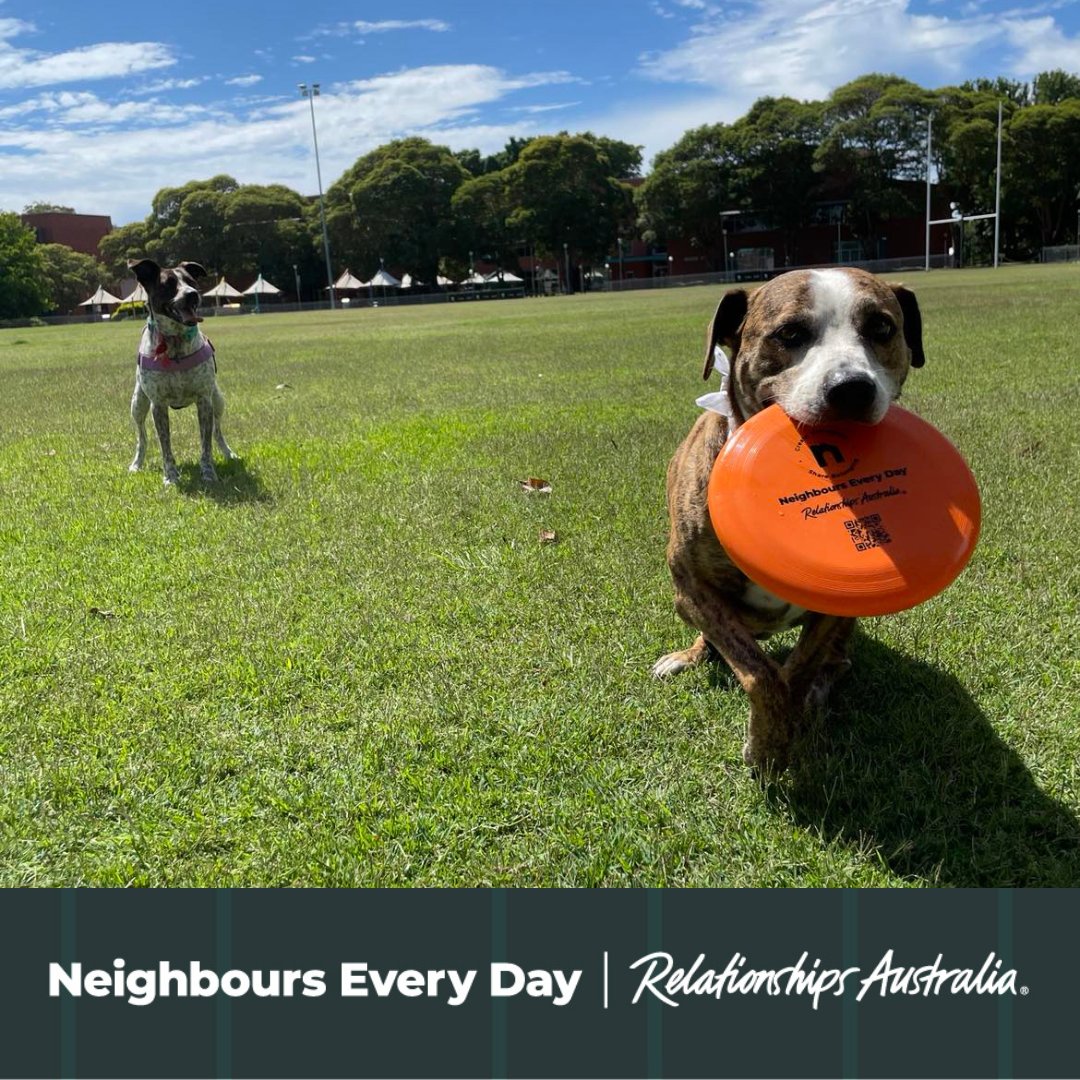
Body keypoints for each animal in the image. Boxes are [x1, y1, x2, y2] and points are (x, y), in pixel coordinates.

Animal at [127, 258, 237, 486]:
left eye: (191, 282)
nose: (192, 294)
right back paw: (136, 464)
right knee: (142, 436)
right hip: (138, 404)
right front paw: (171, 476)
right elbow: (165, 446)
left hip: (218, 400)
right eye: (168, 284)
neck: (175, 342)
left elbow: (206, 444)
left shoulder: (204, 401)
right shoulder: (158, 405)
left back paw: (228, 453)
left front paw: (208, 473)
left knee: (218, 430)